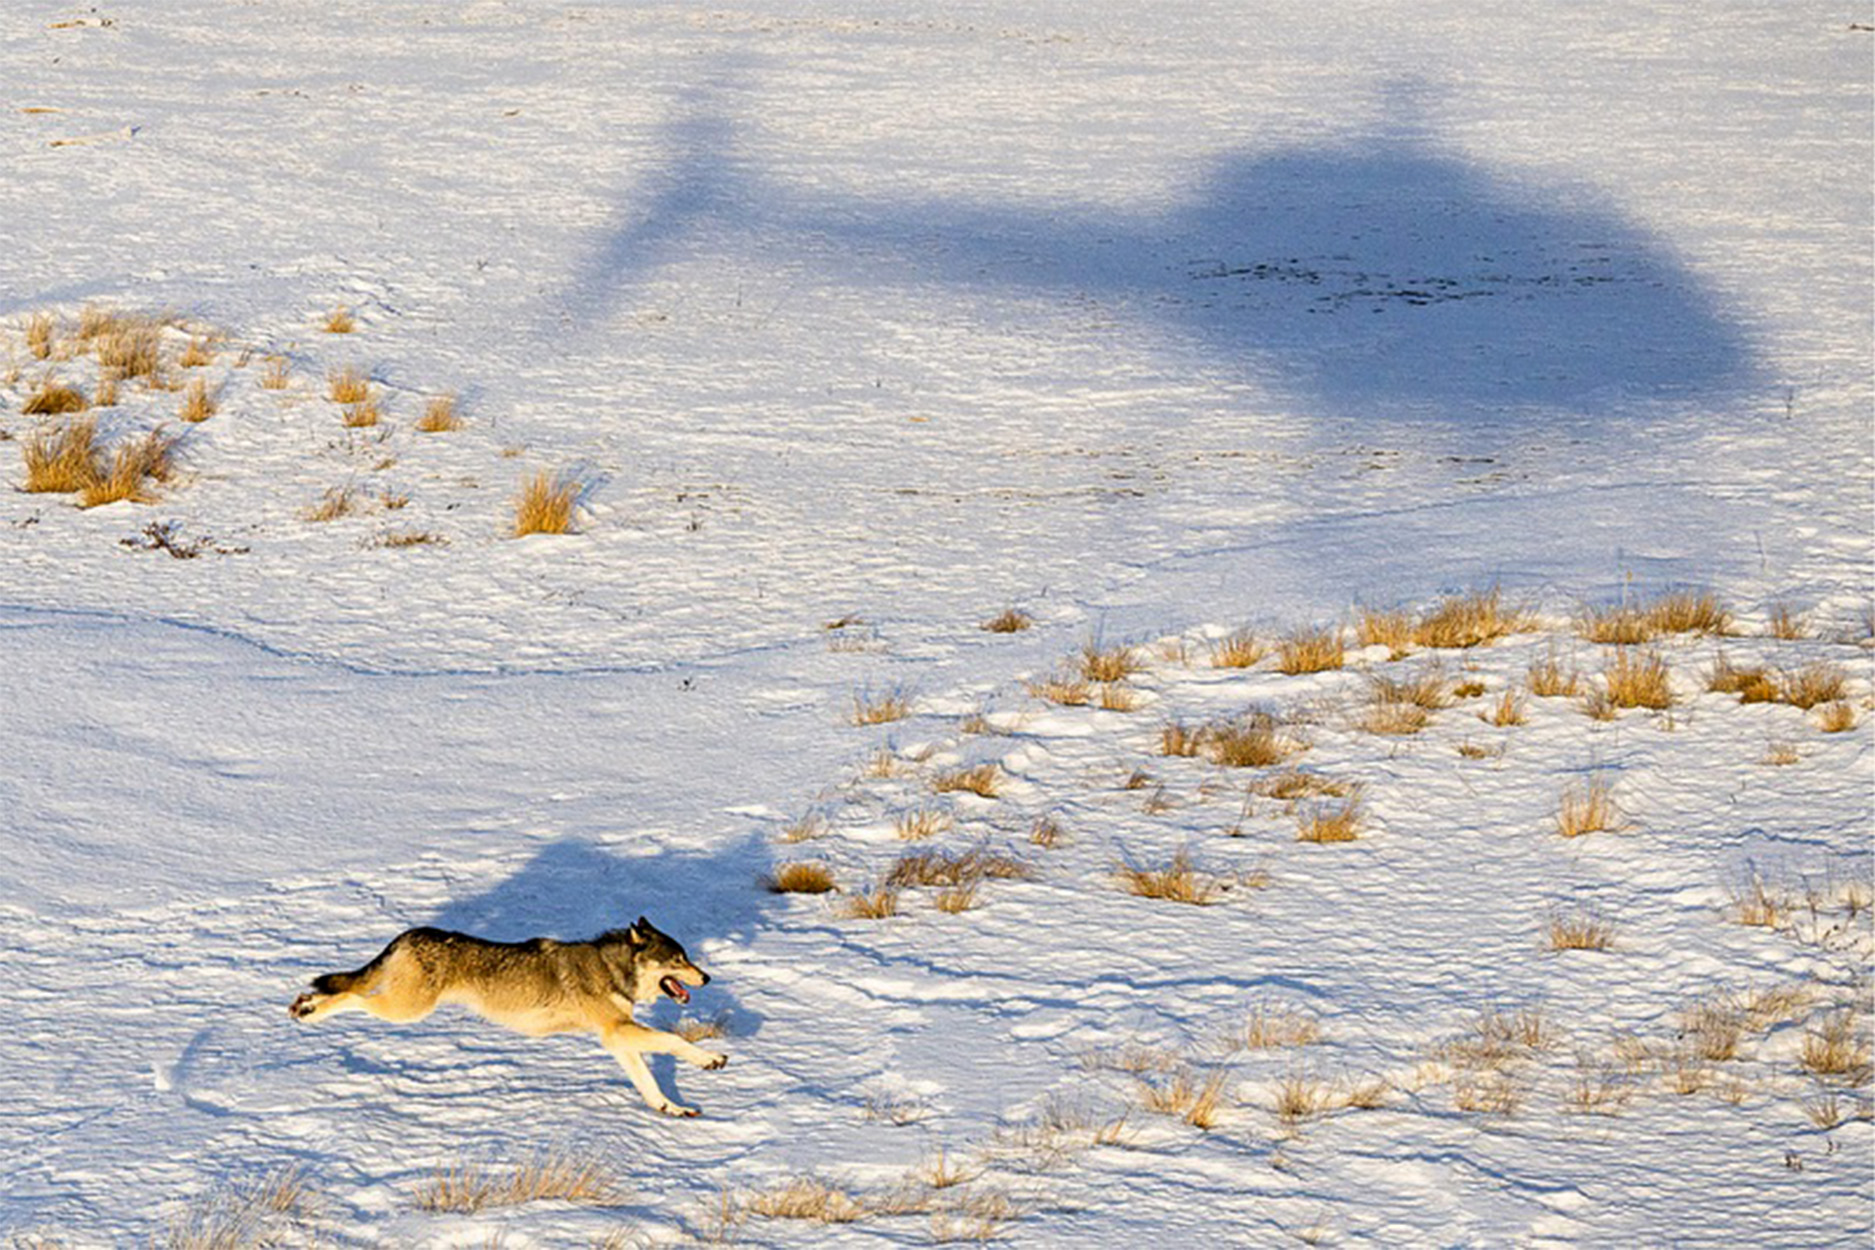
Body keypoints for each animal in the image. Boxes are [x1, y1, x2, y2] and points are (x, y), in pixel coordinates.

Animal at [288, 914, 727, 1116]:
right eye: (678, 959)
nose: (706, 977)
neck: (611, 969)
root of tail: (409, 934)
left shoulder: (616, 1038)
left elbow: (648, 1083)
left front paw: (672, 1109)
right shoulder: (617, 1030)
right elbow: (673, 1040)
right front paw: (711, 1059)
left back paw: (304, 1004)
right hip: (406, 1010)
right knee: (350, 996)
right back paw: (306, 1010)